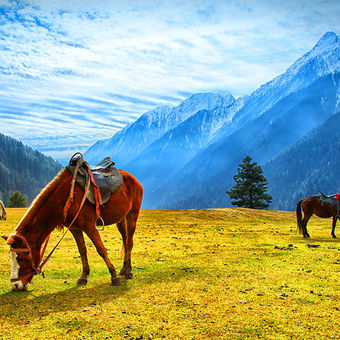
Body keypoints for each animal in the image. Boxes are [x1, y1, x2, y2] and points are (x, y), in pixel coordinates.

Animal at [1, 155, 142, 290]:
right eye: (10, 256)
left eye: (22, 256)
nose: (16, 285)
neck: (65, 197)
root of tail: (133, 179)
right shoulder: (74, 228)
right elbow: (82, 250)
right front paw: (83, 277)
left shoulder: (89, 226)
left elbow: (101, 249)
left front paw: (114, 276)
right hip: (121, 219)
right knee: (125, 240)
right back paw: (124, 269)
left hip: (132, 215)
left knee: (129, 242)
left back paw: (128, 272)